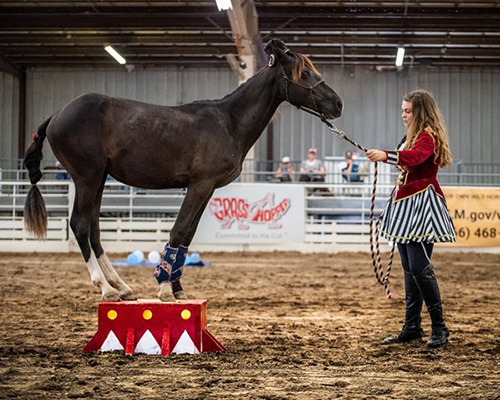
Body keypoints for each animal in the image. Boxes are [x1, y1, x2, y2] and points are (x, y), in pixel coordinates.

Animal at [23, 39, 344, 302]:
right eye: (304, 74)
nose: (338, 103)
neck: (229, 121)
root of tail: (57, 115)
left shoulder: (207, 188)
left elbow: (187, 235)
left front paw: (177, 287)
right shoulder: (199, 185)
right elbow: (178, 230)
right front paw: (165, 287)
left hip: (99, 178)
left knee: (93, 228)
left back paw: (121, 286)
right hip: (87, 178)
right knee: (79, 224)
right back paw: (104, 287)